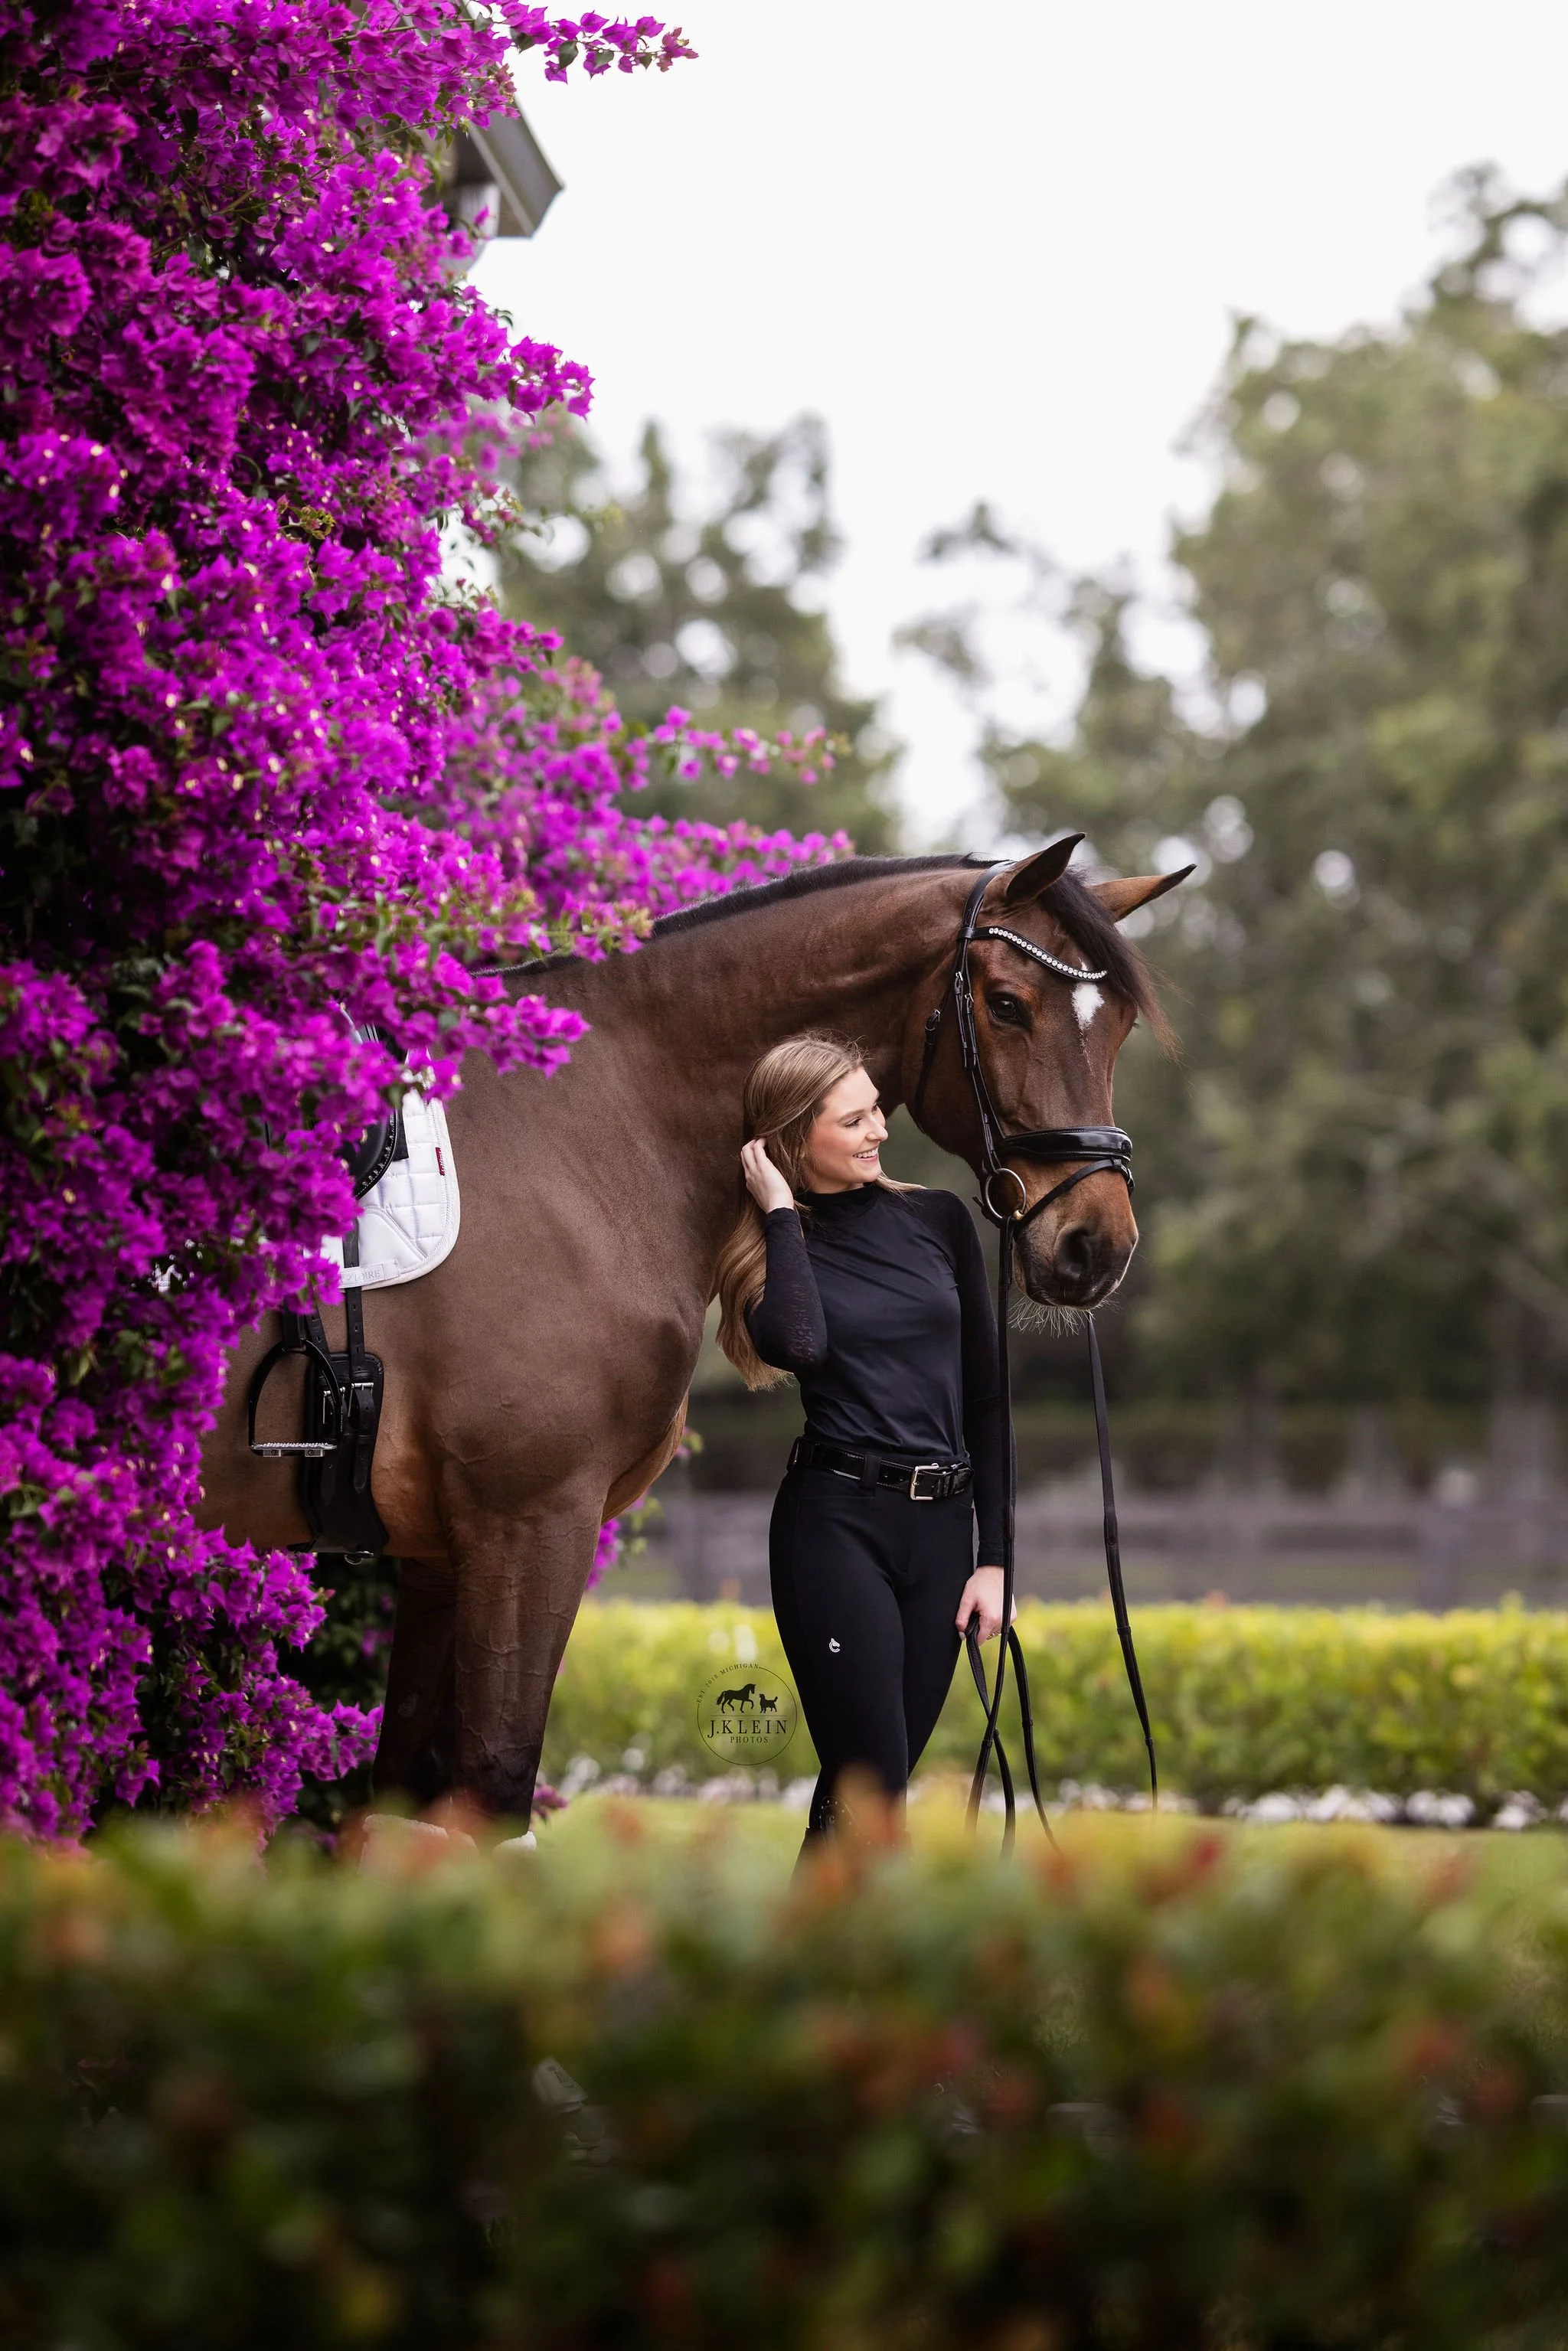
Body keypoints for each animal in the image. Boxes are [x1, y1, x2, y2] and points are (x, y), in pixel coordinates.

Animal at [198, 838, 1185, 1822]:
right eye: (1008, 1004)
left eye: (1118, 1026)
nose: (1095, 1244)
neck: (588, 1123)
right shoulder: (526, 1526)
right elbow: (494, 1782)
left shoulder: (443, 1555)